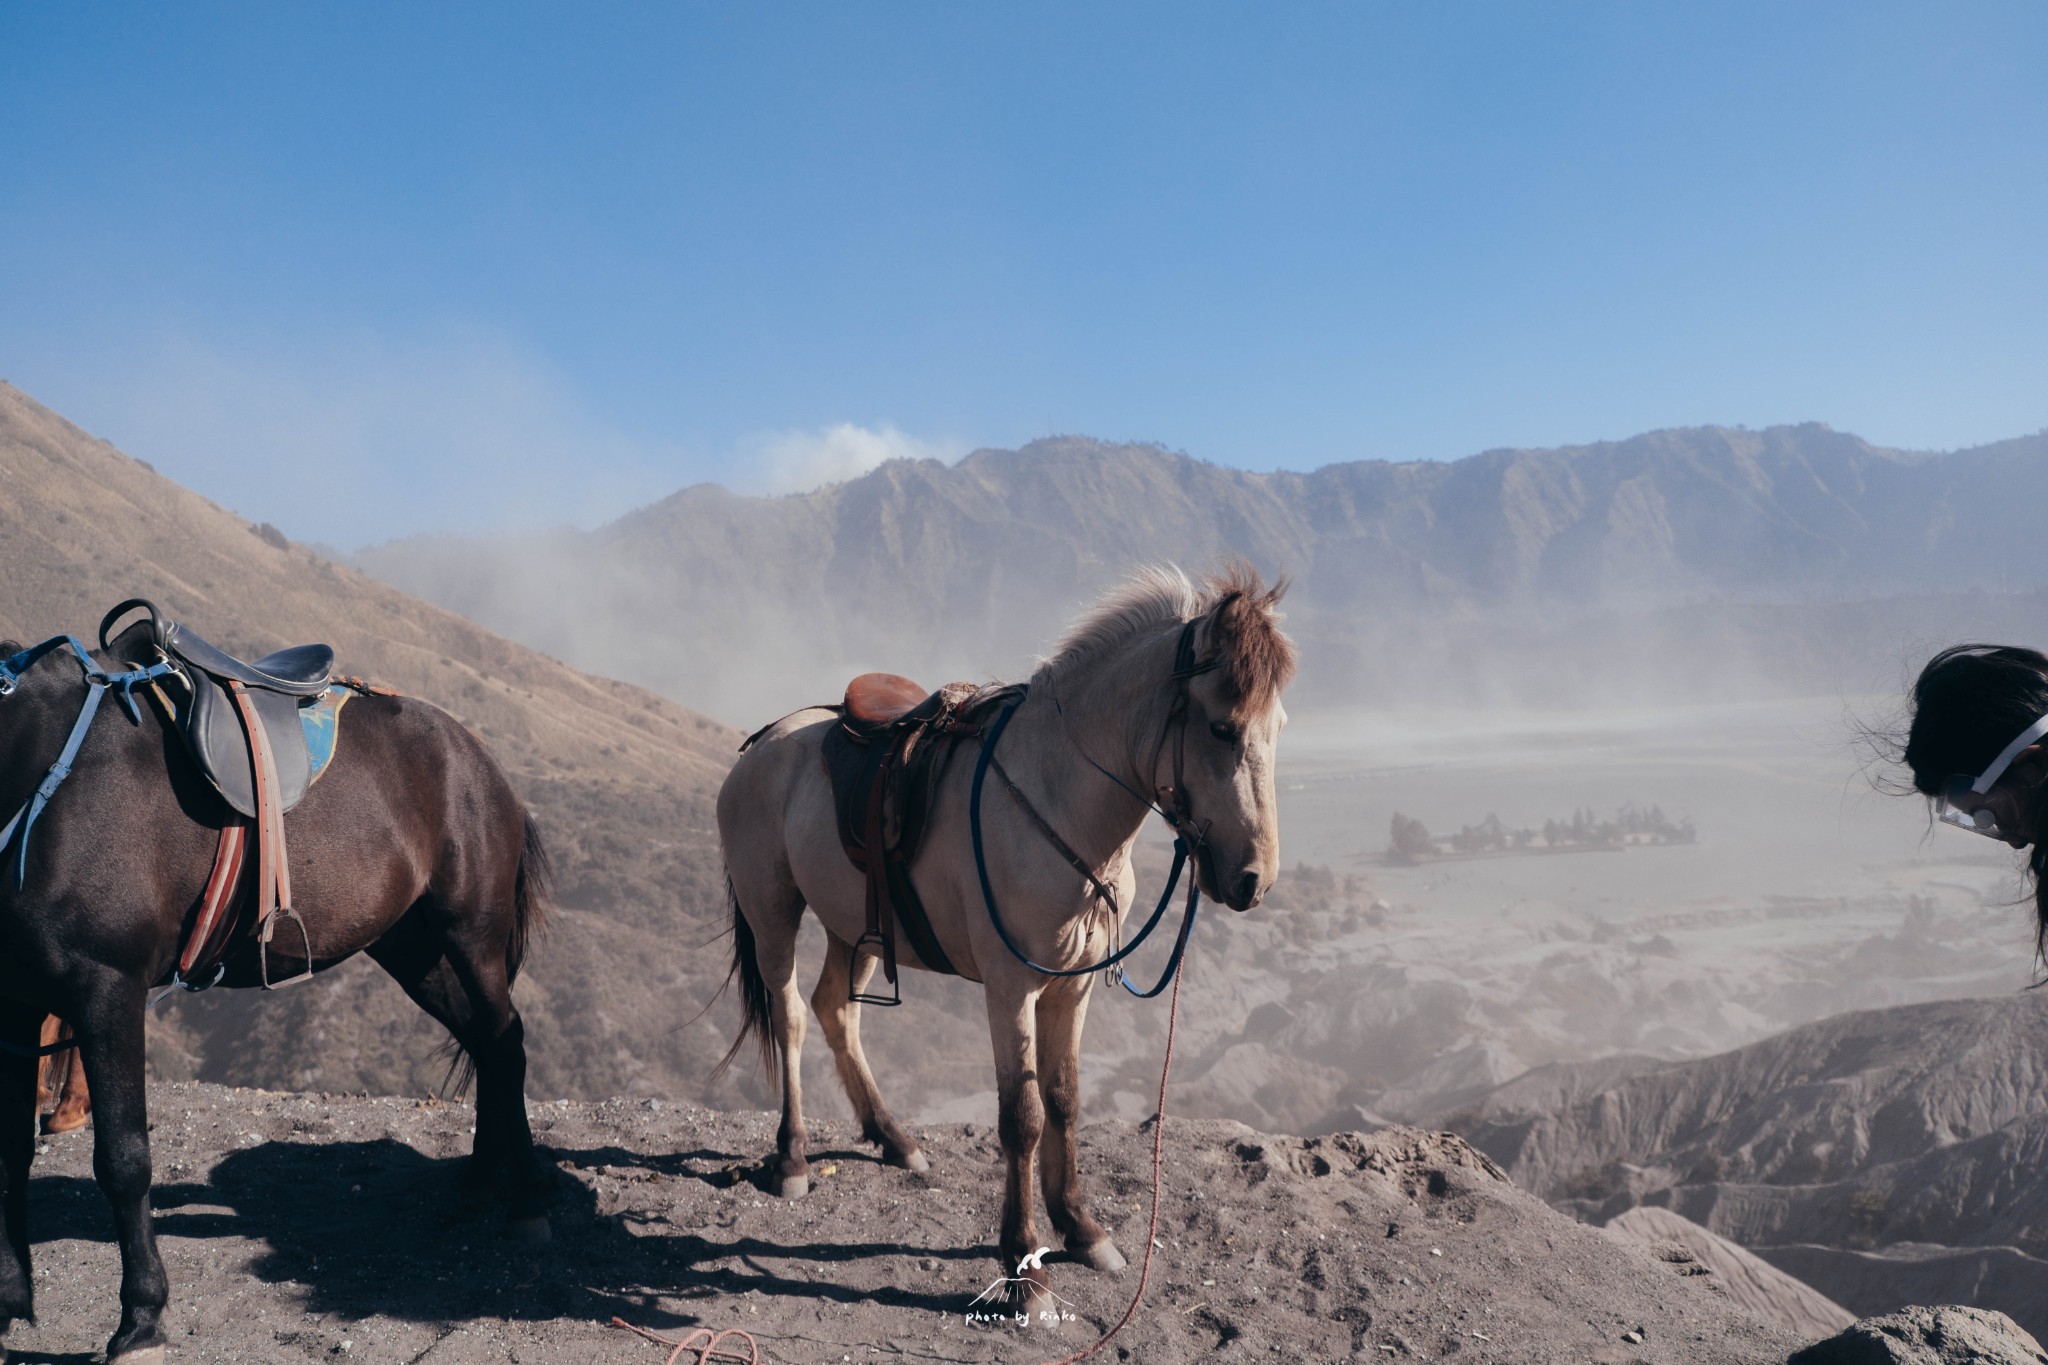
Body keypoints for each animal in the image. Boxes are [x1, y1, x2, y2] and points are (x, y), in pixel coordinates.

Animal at [0, 601, 552, 1358]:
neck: (41, 763)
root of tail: (480, 759)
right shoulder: (17, 1002)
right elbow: (9, 1156)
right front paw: (8, 1303)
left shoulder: (106, 989)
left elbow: (123, 1157)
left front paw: (141, 1318)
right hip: (417, 953)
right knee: (487, 1045)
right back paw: (477, 1184)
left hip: (471, 935)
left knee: (506, 1042)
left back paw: (525, 1202)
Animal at [720, 564, 1294, 1301]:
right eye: (1222, 728)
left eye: (1278, 724)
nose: (1253, 879)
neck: (1055, 797)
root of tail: (765, 740)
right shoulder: (1009, 986)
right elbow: (1022, 1116)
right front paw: (1022, 1258)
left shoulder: (1071, 988)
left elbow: (1065, 1099)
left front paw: (1080, 1227)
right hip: (774, 912)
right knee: (791, 1016)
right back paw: (791, 1157)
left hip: (855, 927)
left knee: (836, 1012)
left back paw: (894, 1138)